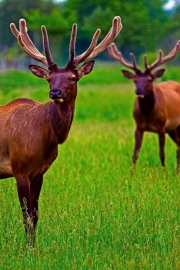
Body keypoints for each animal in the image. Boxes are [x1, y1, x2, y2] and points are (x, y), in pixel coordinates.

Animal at [0, 15, 122, 246]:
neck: (45, 138)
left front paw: (34, 246)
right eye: (49, 78)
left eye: (73, 78)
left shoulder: (39, 172)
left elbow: (35, 214)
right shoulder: (19, 168)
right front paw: (29, 248)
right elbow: (26, 215)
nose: (55, 92)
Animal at [107, 42, 180, 172]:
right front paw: (131, 174)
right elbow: (135, 154)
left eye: (150, 79)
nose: (138, 91)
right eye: (135, 80)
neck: (148, 114)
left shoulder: (162, 126)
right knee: (179, 145)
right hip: (172, 129)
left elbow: (162, 153)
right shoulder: (139, 127)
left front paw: (164, 173)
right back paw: (176, 172)